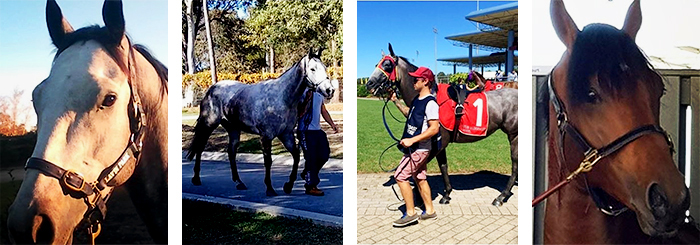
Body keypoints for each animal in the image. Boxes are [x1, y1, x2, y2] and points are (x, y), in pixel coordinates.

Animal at [187, 48, 334, 196]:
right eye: (312, 69)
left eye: (325, 67)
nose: (330, 90)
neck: (282, 97)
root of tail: (211, 90)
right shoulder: (266, 137)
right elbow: (268, 161)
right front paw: (270, 188)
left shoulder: (286, 135)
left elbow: (297, 156)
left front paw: (288, 185)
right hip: (208, 125)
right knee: (200, 147)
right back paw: (196, 178)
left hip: (233, 129)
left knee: (231, 152)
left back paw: (239, 182)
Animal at [366, 43, 520, 206]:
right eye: (377, 64)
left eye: (387, 65)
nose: (369, 83)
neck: (432, 98)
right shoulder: (439, 144)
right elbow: (443, 166)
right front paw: (446, 194)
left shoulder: (439, 143)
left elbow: (418, 170)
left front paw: (420, 196)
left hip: (514, 136)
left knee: (515, 163)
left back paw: (501, 196)